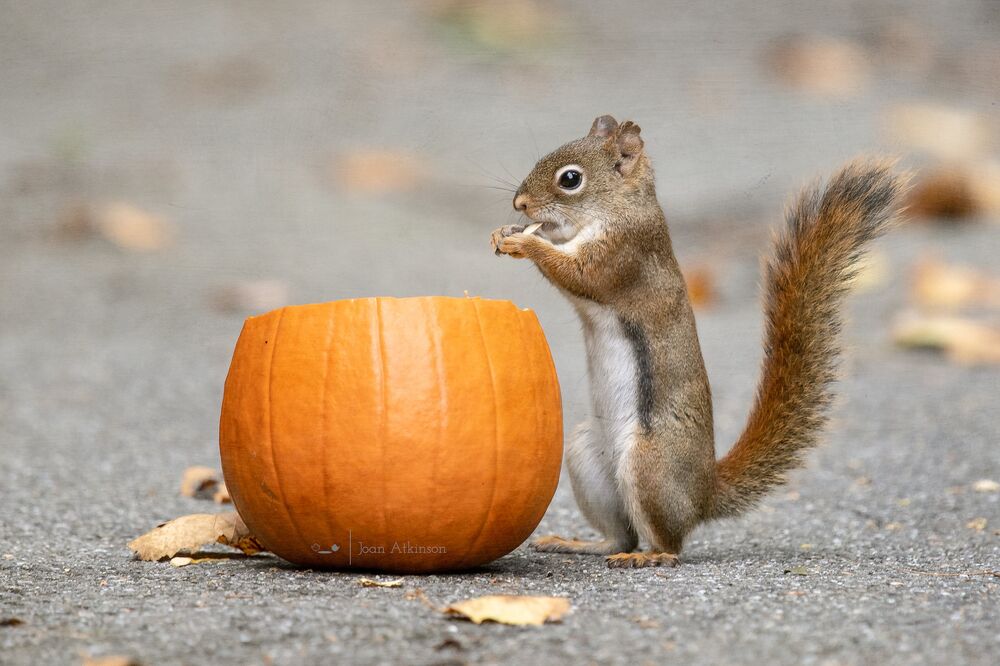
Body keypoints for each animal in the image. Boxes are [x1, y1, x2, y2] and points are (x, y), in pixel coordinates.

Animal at [490, 115, 906, 568]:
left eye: (570, 179)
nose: (520, 204)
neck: (618, 208)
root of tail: (702, 494)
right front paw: (506, 231)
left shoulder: (623, 253)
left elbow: (577, 273)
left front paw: (524, 241)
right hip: (587, 458)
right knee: (621, 535)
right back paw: (580, 544)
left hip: (650, 467)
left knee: (669, 543)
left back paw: (650, 557)